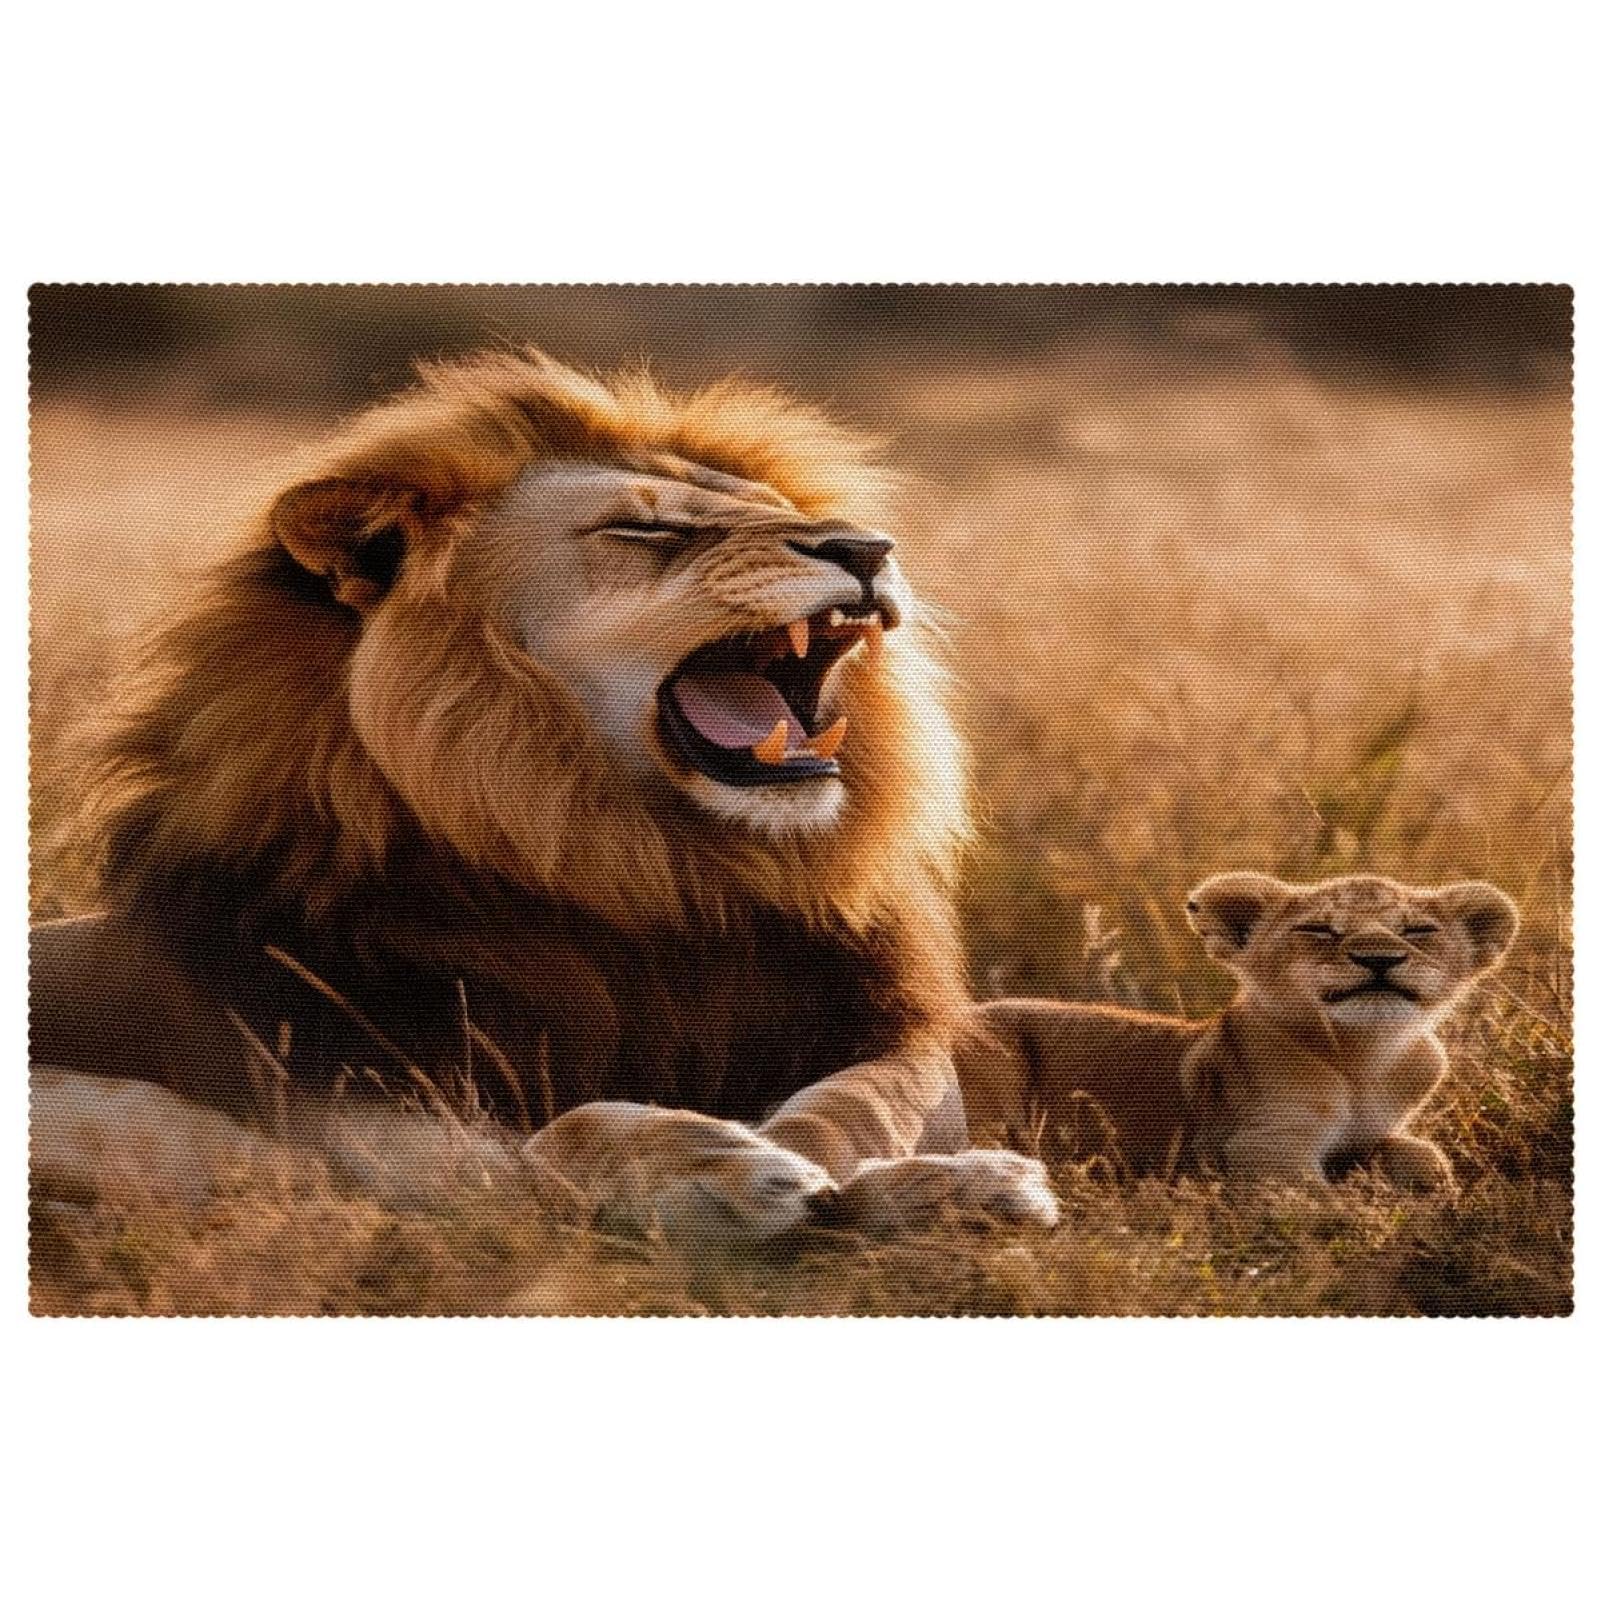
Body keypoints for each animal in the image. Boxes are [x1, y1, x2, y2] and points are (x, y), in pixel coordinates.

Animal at [29, 347, 1059, 1240]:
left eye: (773, 509)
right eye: (647, 529)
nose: (866, 546)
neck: (651, 869)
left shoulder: (888, 1033)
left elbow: (851, 1105)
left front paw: (953, 1182)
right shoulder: (352, 1107)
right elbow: (537, 1148)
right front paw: (724, 1168)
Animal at [957, 872, 1519, 1189]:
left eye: (1419, 930)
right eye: (1318, 928)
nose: (1378, 958)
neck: (1364, 1057)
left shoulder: (1373, 1133)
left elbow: (1426, 1156)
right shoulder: (1260, 1147)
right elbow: (1318, 1202)